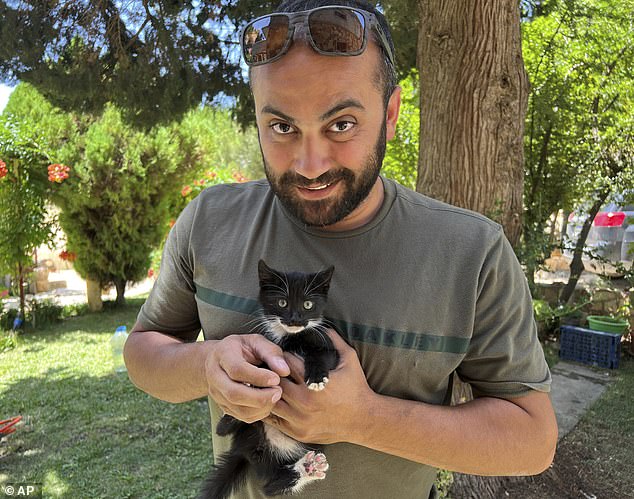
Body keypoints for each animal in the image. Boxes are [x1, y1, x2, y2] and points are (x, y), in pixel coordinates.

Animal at [199, 260, 338, 498]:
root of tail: (246, 451)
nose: (295, 319)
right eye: (282, 302)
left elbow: (321, 355)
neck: (290, 337)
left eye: (308, 304)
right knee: (225, 434)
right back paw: (229, 420)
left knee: (273, 486)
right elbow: (265, 364)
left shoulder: (329, 346)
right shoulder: (269, 346)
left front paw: (317, 377)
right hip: (249, 431)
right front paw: (251, 380)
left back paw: (308, 468)